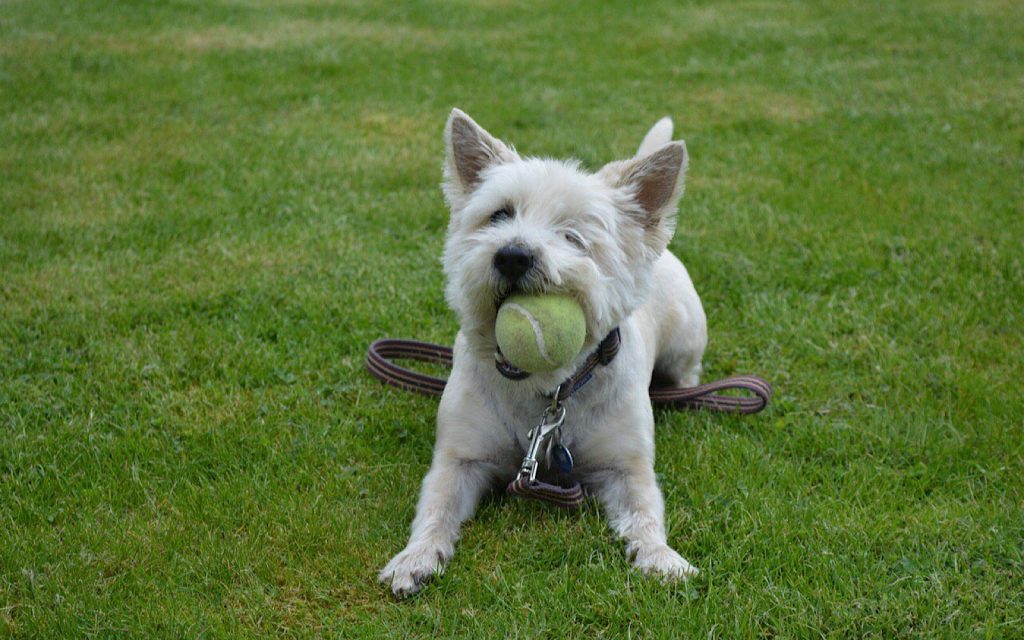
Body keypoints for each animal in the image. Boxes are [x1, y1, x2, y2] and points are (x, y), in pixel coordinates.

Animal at [380, 107, 708, 598]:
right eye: (499, 215)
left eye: (573, 236)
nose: (512, 255)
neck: (544, 392)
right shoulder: (460, 459)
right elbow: (436, 509)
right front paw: (413, 559)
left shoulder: (626, 467)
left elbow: (644, 514)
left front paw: (662, 558)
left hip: (687, 337)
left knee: (688, 371)